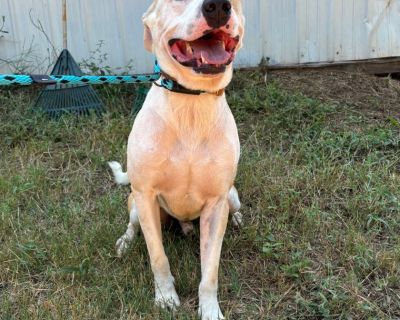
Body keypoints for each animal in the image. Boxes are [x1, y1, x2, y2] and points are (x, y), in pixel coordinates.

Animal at [109, 1, 245, 318]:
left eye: (235, 2)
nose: (217, 7)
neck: (191, 102)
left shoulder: (216, 204)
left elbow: (210, 272)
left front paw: (210, 310)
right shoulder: (145, 196)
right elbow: (158, 258)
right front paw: (165, 298)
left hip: (231, 196)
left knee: (234, 208)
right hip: (136, 204)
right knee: (132, 225)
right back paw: (125, 243)